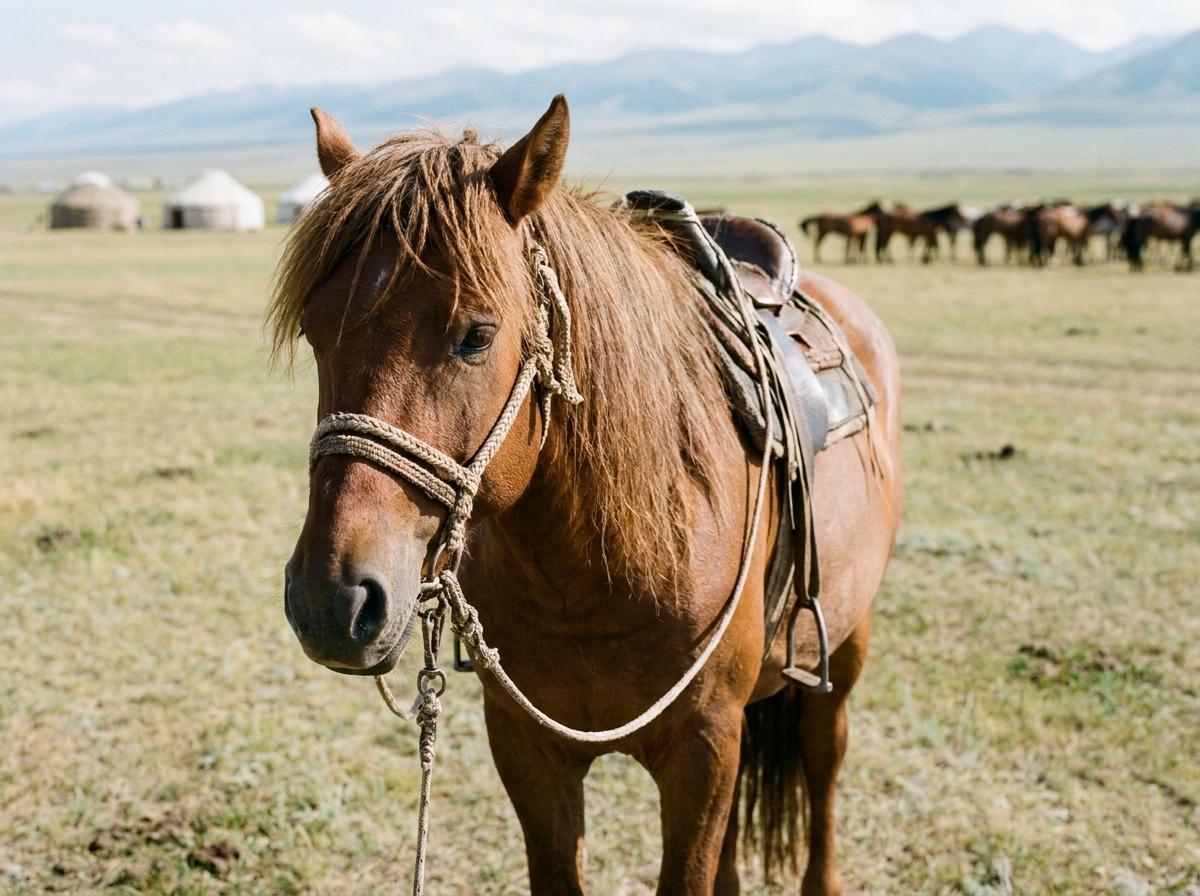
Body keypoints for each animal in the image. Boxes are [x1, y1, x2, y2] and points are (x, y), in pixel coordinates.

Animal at [271, 96, 902, 895]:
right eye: (315, 331)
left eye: (476, 335)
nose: (333, 600)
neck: (598, 569)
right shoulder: (530, 749)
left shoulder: (702, 751)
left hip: (845, 643)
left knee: (825, 758)